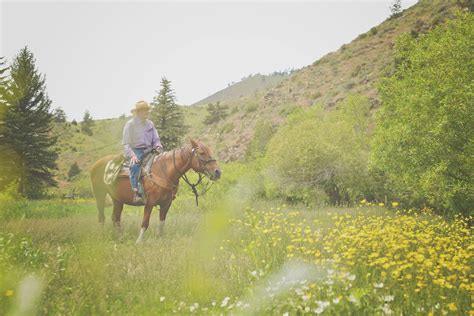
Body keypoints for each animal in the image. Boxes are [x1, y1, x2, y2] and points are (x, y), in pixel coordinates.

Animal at [89, 138, 220, 242]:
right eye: (202, 153)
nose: (217, 172)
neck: (164, 171)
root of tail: (95, 165)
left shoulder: (166, 203)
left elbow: (162, 222)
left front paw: (160, 238)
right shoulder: (150, 203)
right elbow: (145, 223)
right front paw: (139, 242)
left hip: (117, 200)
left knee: (115, 218)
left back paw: (120, 238)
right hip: (99, 195)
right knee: (102, 217)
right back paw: (103, 236)